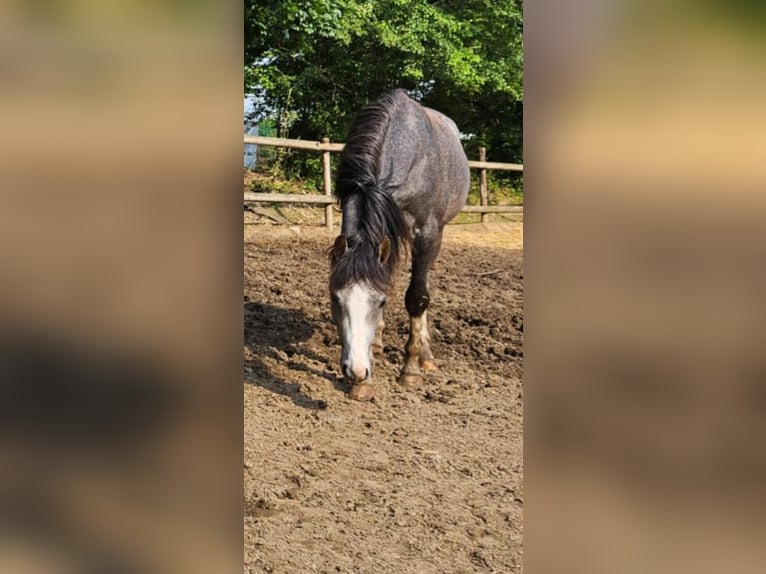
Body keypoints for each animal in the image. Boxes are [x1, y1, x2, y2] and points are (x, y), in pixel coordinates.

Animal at [328, 91, 472, 404]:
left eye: (381, 302)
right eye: (335, 299)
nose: (355, 370)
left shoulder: (427, 234)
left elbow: (417, 298)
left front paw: (410, 370)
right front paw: (364, 380)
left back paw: (425, 356)